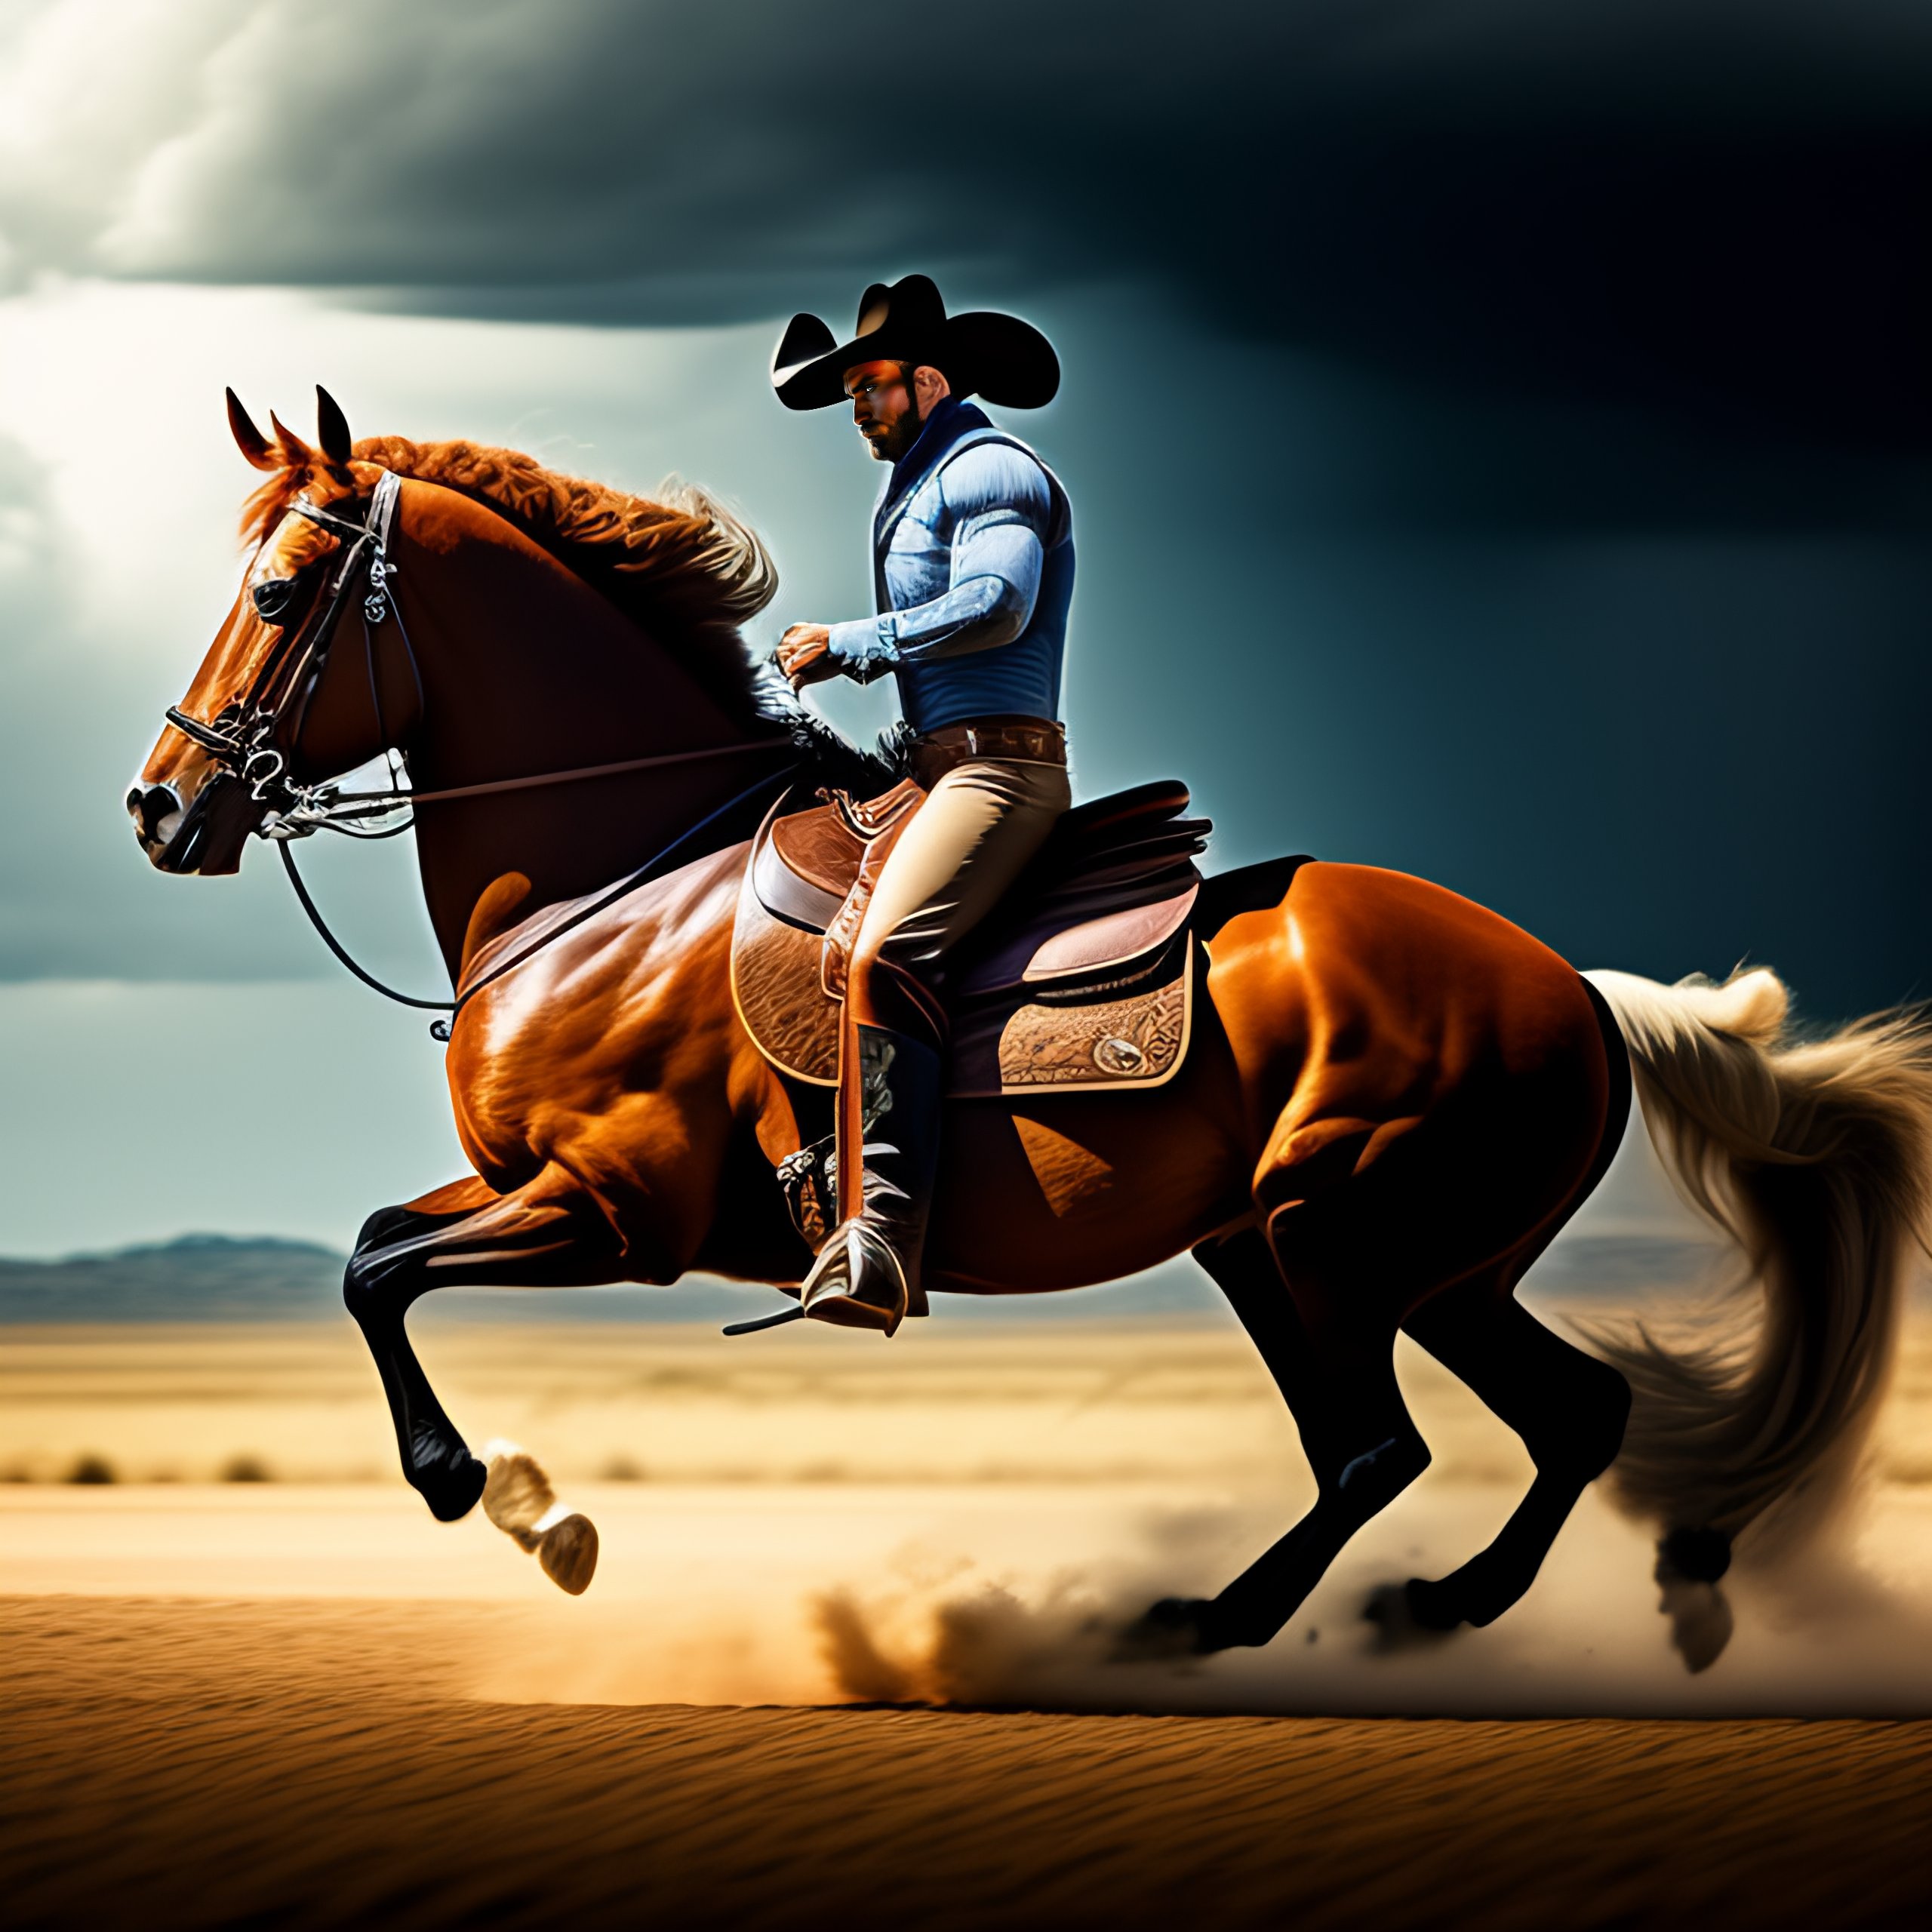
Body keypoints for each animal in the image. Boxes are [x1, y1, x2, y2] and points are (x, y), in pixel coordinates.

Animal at [131, 388, 1932, 1667]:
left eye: (281, 589)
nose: (161, 808)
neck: (611, 880)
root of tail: (1574, 989)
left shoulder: (613, 1212)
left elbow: (376, 1274)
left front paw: (497, 1499)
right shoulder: (531, 1191)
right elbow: (371, 1248)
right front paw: (520, 1502)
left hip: (1343, 1238)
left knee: (1383, 1447)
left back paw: (1232, 1620)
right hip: (1362, 1259)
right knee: (1551, 1420)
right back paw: (1509, 1602)